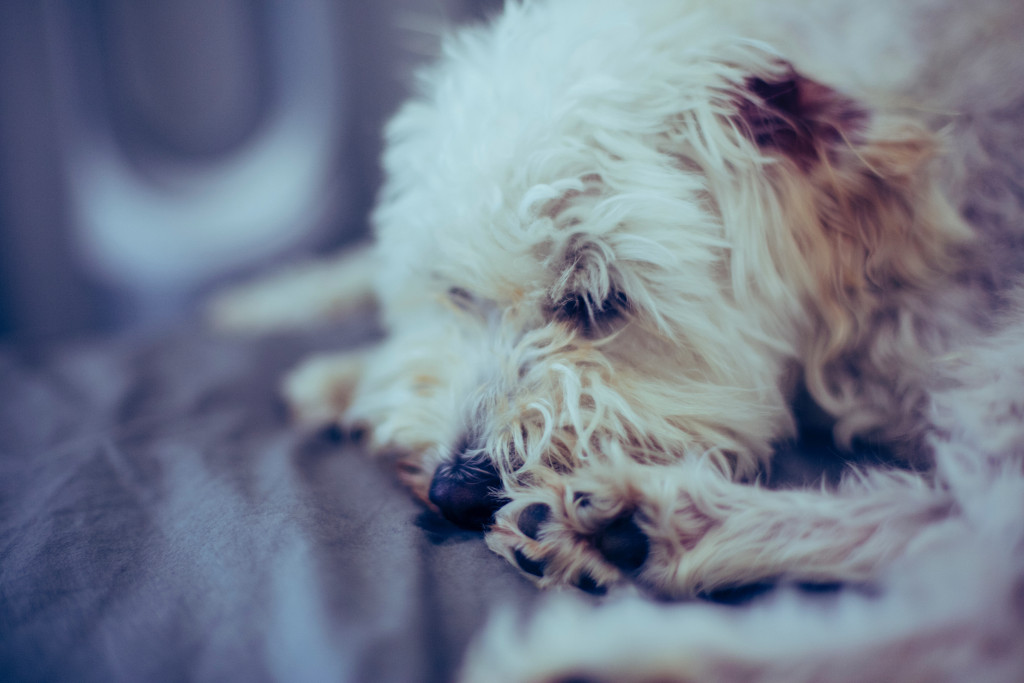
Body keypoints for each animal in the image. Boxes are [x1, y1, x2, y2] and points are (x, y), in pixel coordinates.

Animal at [216, 0, 1024, 671]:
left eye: (599, 299)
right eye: (455, 288)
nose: (453, 492)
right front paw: (301, 332)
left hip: (995, 374)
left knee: (965, 605)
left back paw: (602, 643)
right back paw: (637, 531)